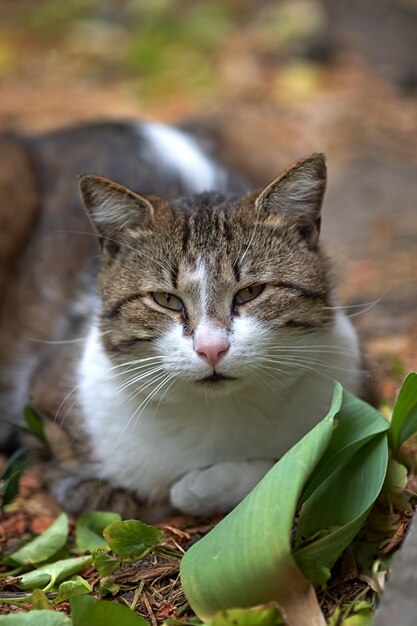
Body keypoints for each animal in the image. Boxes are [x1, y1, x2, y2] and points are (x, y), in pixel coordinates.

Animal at [0, 119, 360, 520]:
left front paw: (197, 487)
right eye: (166, 299)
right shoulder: (44, 403)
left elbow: (292, 464)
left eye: (251, 292)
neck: (217, 416)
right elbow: (85, 481)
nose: (211, 348)